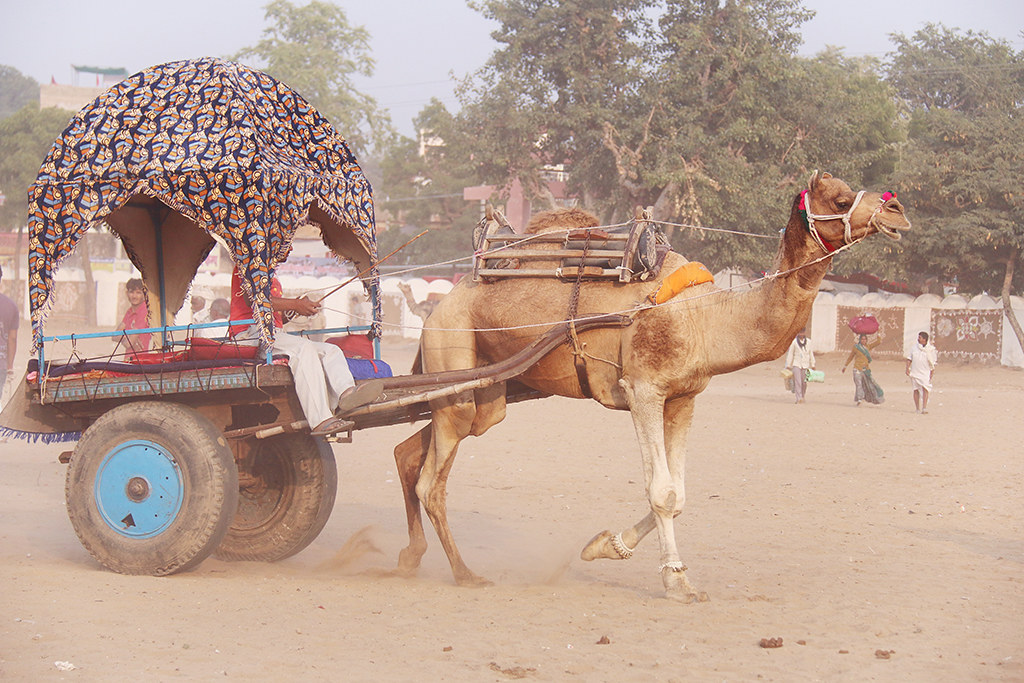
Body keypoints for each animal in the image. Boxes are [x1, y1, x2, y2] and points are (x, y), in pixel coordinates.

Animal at [392, 172, 910, 600]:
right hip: (454, 352)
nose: (897, 211)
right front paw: (677, 582)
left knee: (414, 449)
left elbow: (679, 494)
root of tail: (440, 304)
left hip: (487, 390)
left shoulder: (682, 397)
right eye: (840, 198)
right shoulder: (643, 389)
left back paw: (409, 557)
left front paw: (603, 545)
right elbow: (661, 491)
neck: (707, 315)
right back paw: (464, 574)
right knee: (431, 481)